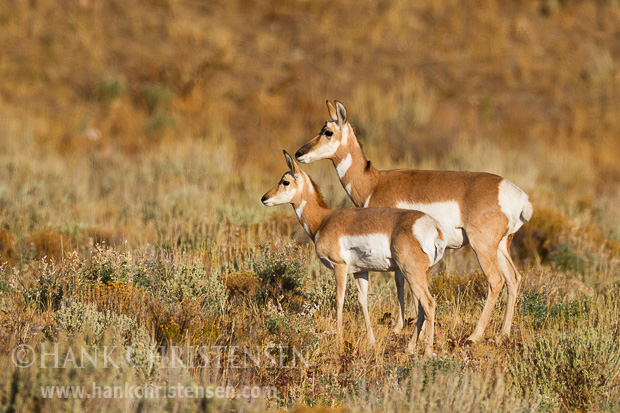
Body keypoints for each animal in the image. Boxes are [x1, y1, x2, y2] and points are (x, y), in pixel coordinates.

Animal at [262, 150, 446, 356]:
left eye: (285, 181)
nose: (264, 198)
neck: (324, 220)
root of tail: (434, 226)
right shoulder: (360, 271)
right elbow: (362, 301)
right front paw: (371, 341)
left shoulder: (340, 267)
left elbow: (339, 299)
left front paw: (338, 339)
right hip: (421, 274)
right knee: (421, 307)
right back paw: (410, 347)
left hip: (411, 273)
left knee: (428, 304)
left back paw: (427, 352)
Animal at [296, 101, 532, 342]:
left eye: (328, 131)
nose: (299, 153)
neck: (374, 182)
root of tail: (515, 194)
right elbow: (401, 281)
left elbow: (399, 280)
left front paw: (398, 327)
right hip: (501, 246)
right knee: (513, 279)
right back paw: (503, 333)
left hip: (482, 247)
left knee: (495, 281)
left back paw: (474, 336)